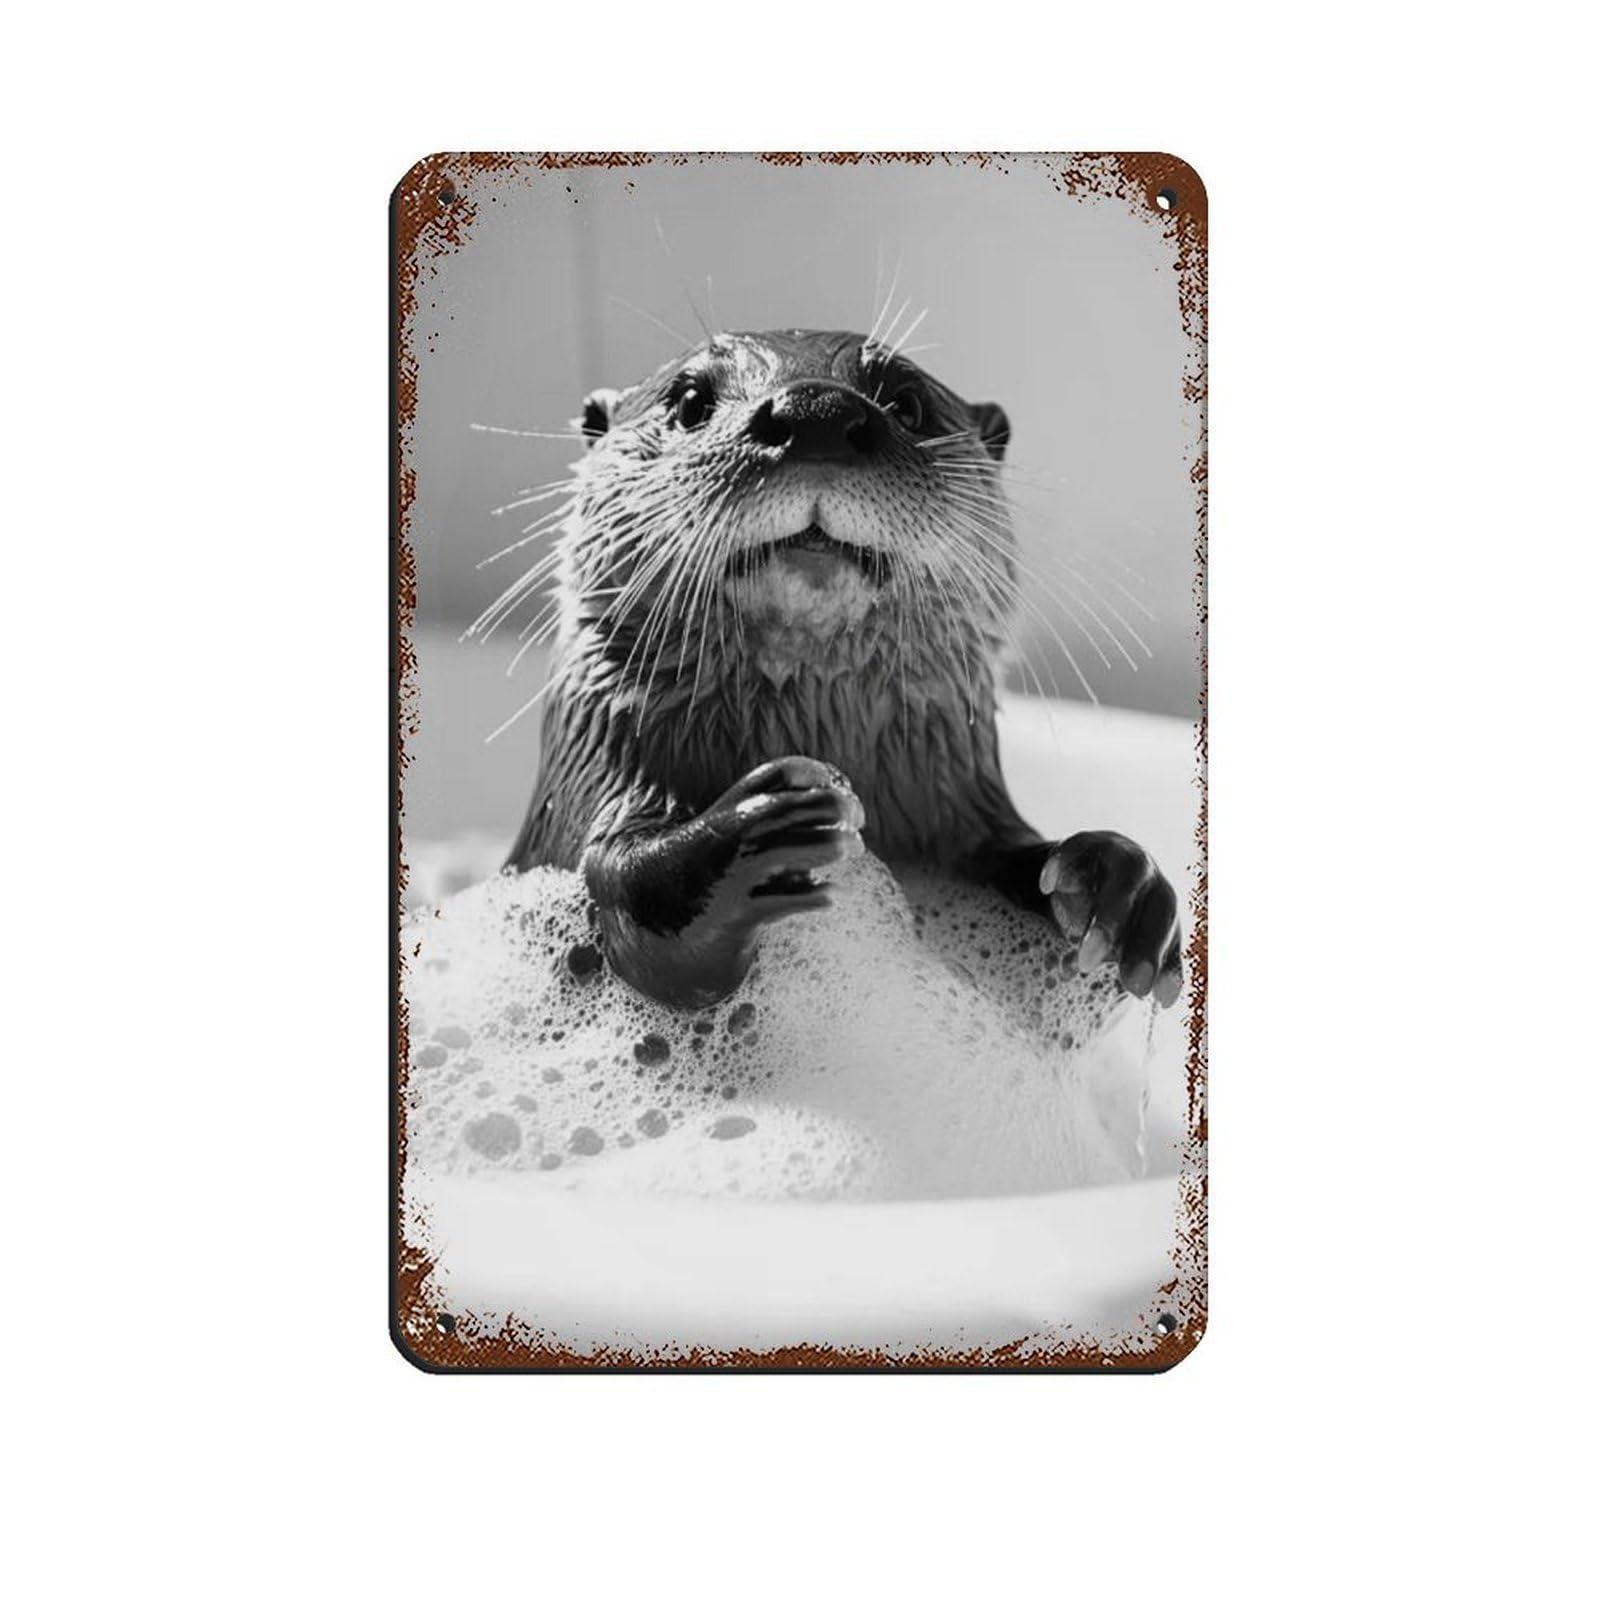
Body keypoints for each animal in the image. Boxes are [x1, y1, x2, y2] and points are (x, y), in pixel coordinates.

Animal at [505, 329, 1182, 1013]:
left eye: (908, 404)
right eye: (692, 400)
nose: (815, 410)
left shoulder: (965, 803)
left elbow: (1011, 851)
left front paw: (1115, 881)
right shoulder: (597, 754)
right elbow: (628, 891)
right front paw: (764, 827)